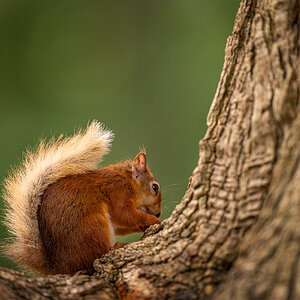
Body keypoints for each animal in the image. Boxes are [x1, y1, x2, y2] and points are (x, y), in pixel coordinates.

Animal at [1, 120, 162, 276]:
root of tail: (60, 268)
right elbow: (126, 215)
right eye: (155, 187)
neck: (127, 179)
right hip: (93, 225)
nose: (159, 213)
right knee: (94, 258)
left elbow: (121, 224)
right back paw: (116, 247)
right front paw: (154, 221)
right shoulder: (118, 192)